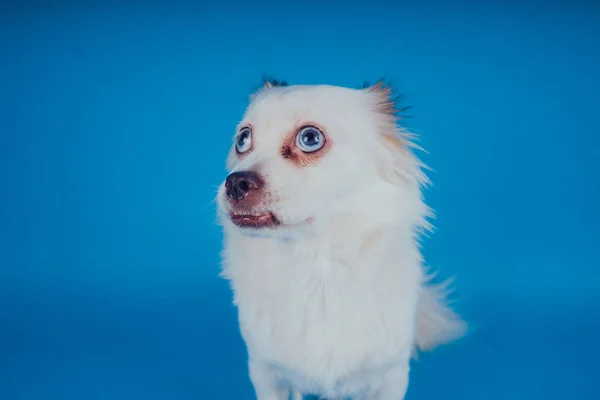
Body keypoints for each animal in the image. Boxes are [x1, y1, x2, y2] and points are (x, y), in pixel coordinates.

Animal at [217, 79, 468, 400]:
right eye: (242, 140)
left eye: (310, 138)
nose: (235, 182)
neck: (315, 267)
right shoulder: (265, 372)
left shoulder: (391, 376)